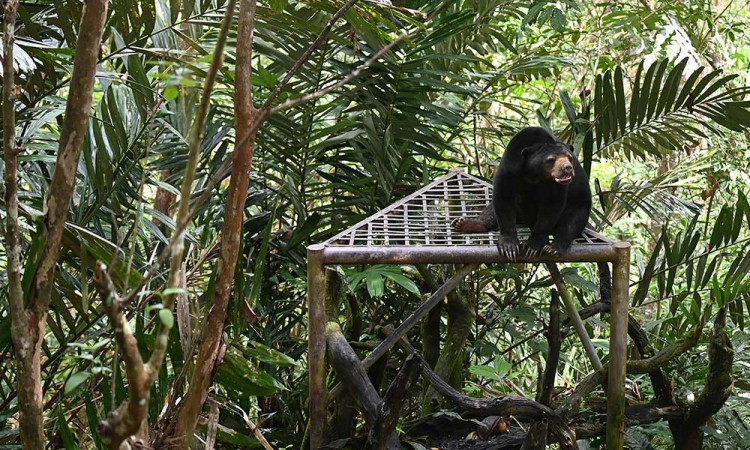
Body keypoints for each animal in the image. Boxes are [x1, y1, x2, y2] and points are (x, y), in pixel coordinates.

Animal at [452, 126, 592, 260]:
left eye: (569, 158)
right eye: (551, 159)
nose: (567, 168)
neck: (534, 174)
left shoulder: (556, 185)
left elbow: (552, 205)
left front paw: (533, 246)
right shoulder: (509, 167)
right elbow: (504, 198)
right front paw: (509, 246)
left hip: (581, 205)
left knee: (572, 222)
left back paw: (554, 248)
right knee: (491, 210)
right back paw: (463, 224)